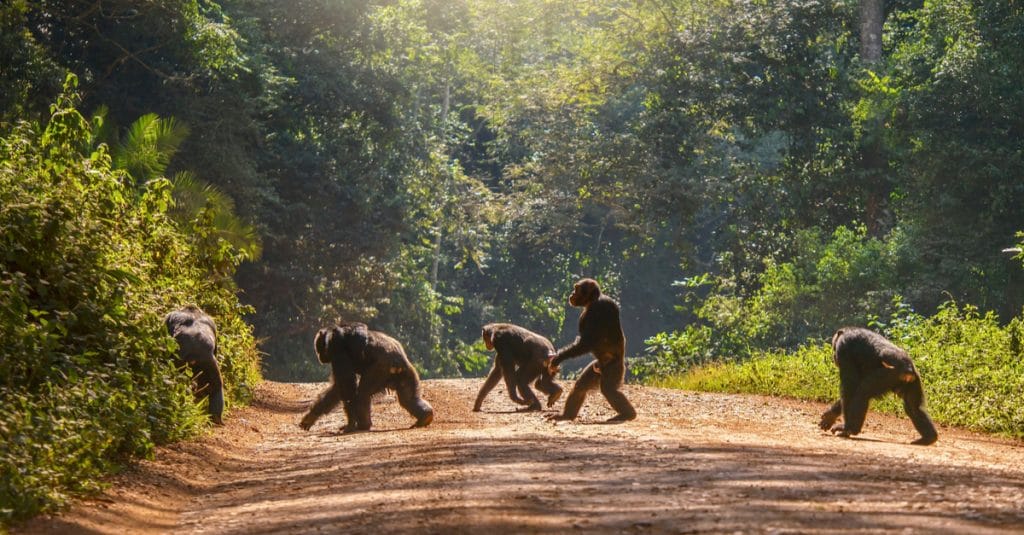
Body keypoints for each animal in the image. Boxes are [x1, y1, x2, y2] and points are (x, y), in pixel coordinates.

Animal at [299, 319, 436, 428]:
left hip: (380, 369)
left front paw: (350, 423)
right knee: (408, 399)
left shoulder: (337, 350)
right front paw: (311, 416)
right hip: (405, 372)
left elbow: (347, 385)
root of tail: (398, 361)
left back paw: (363, 425)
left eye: (318, 348)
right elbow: (337, 388)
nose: (319, 356)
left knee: (363, 393)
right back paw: (425, 416)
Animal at [544, 276, 630, 418]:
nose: (572, 294)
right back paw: (566, 416)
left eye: (577, 289)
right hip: (595, 368)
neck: (592, 302)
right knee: (580, 387)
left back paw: (628, 415)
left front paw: (557, 359)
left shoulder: (596, 311)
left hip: (614, 369)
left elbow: (586, 342)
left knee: (609, 390)